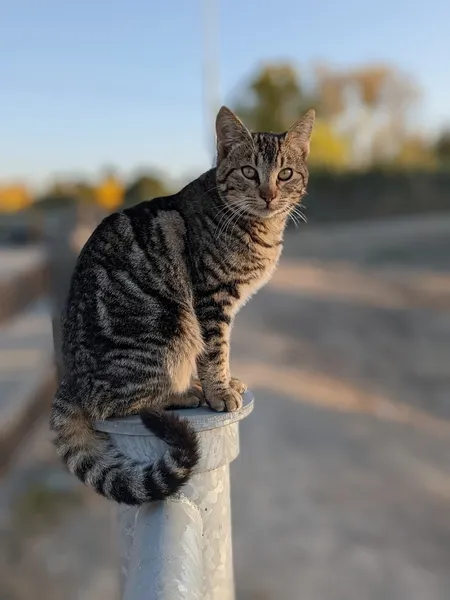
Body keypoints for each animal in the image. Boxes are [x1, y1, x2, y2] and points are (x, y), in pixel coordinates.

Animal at [49, 105, 314, 504]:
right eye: (249, 172)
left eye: (285, 174)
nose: (268, 194)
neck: (260, 229)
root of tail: (72, 382)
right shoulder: (212, 298)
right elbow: (216, 350)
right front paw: (218, 391)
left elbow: (219, 352)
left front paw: (224, 383)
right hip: (169, 327)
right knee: (112, 404)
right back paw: (183, 393)